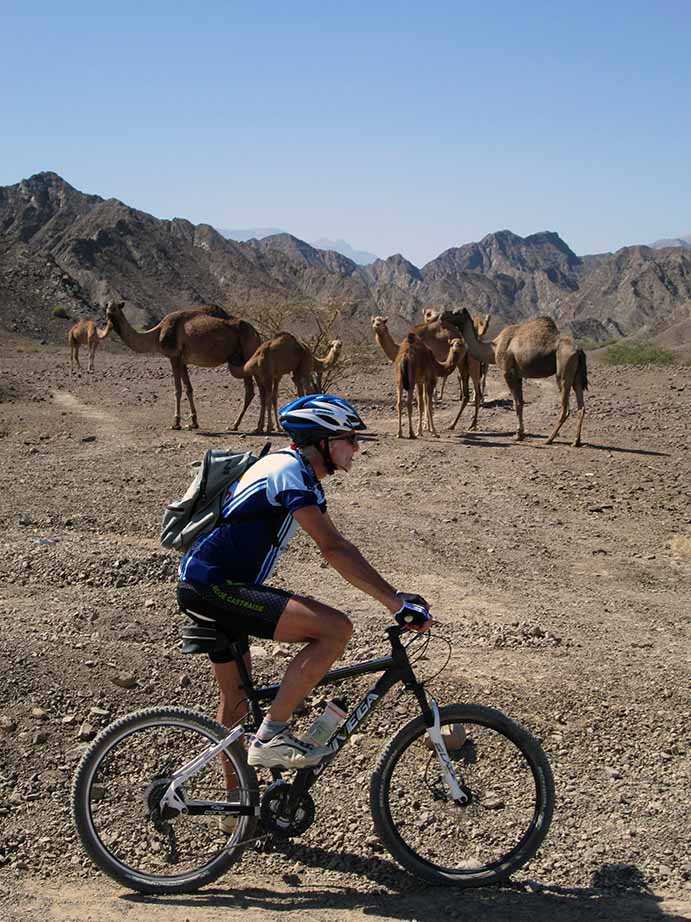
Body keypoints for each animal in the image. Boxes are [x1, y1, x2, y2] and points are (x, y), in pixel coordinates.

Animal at [105, 301, 261, 430]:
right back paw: (245, 426)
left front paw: (176, 423)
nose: (109, 312)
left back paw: (245, 426)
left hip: (249, 352)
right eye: (107, 306)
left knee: (254, 390)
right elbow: (188, 389)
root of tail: (256, 333)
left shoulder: (174, 356)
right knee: (253, 391)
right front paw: (194, 422)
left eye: (115, 307)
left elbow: (177, 389)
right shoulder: (182, 361)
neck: (157, 334)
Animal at [443, 307, 588, 447]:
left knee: (565, 407)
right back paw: (576, 441)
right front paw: (521, 434)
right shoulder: (518, 375)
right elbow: (521, 403)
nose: (442, 315)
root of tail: (578, 350)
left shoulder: (508, 372)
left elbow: (516, 403)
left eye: (455, 312)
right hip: (577, 376)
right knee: (581, 406)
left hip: (564, 370)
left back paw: (549, 439)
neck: (493, 348)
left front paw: (518, 435)